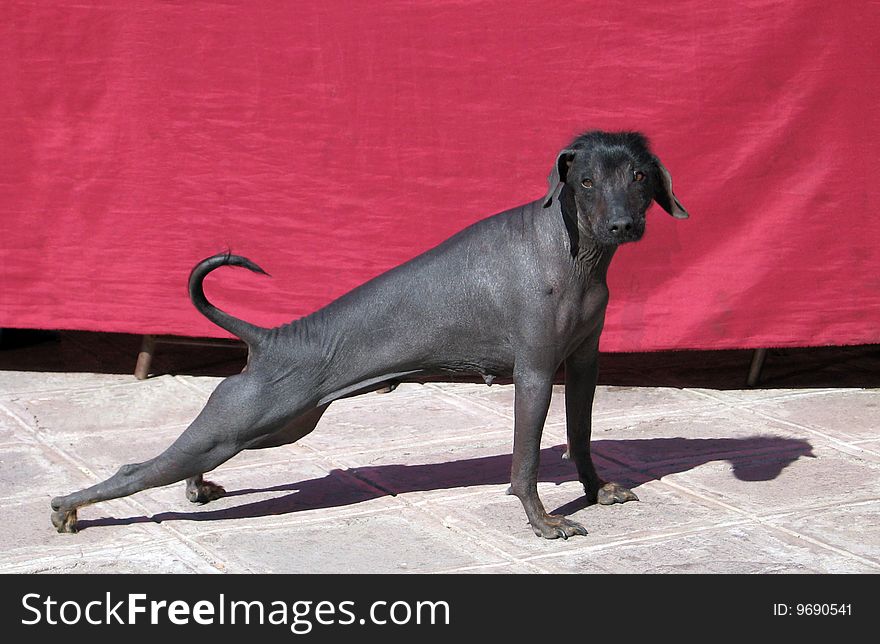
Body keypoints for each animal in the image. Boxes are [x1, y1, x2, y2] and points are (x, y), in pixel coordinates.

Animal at [51, 131, 692, 540]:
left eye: (638, 176)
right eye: (585, 182)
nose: (623, 225)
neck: (575, 253)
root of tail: (269, 337)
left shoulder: (583, 365)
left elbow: (581, 435)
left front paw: (598, 490)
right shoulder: (533, 374)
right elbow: (526, 465)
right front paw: (542, 521)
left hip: (274, 429)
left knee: (185, 461)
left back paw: (194, 487)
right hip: (242, 425)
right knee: (133, 471)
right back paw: (65, 510)